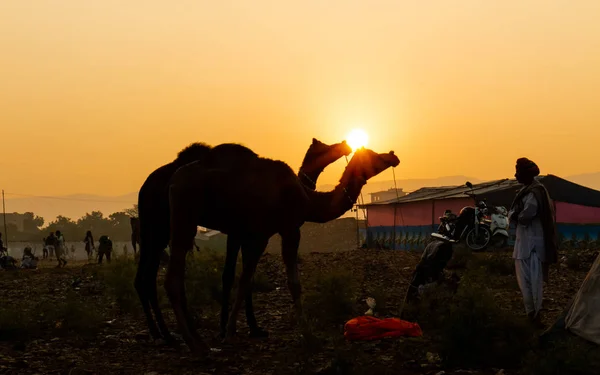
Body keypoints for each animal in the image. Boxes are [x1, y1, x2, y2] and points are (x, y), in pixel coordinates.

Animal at [135, 138, 352, 344]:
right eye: (324, 147)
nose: (345, 145)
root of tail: (144, 188)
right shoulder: (243, 234)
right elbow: (232, 276)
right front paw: (229, 328)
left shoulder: (245, 235)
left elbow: (244, 277)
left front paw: (249, 328)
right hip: (164, 227)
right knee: (155, 275)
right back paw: (174, 335)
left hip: (152, 230)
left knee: (145, 276)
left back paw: (164, 333)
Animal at [166, 147, 398, 352]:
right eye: (372, 155)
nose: (393, 156)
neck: (308, 200)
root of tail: (174, 181)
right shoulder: (284, 230)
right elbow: (285, 283)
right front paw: (308, 335)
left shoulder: (261, 234)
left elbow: (246, 280)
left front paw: (233, 331)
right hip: (185, 218)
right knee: (173, 278)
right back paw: (193, 343)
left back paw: (195, 340)